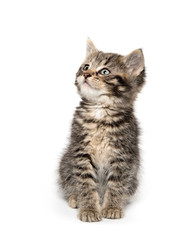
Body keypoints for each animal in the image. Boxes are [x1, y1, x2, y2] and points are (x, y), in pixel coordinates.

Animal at [58, 39, 145, 221]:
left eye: (104, 71)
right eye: (85, 67)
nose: (85, 75)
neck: (100, 112)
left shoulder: (123, 156)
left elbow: (117, 184)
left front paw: (112, 207)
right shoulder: (80, 152)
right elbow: (85, 183)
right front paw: (89, 209)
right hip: (65, 164)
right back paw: (75, 198)